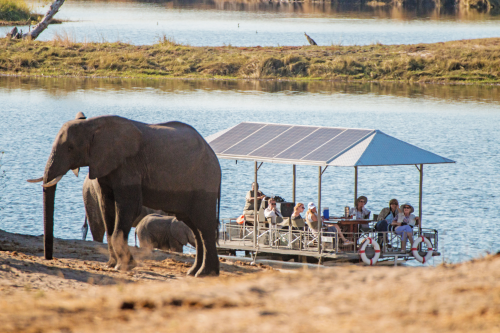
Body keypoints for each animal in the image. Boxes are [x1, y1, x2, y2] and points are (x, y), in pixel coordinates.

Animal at [27, 114, 221, 274]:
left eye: (70, 148)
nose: (49, 258)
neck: (93, 124)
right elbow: (107, 208)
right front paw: (112, 265)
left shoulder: (128, 166)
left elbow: (129, 207)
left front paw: (124, 267)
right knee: (194, 226)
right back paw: (194, 273)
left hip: (204, 182)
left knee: (203, 225)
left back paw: (205, 274)